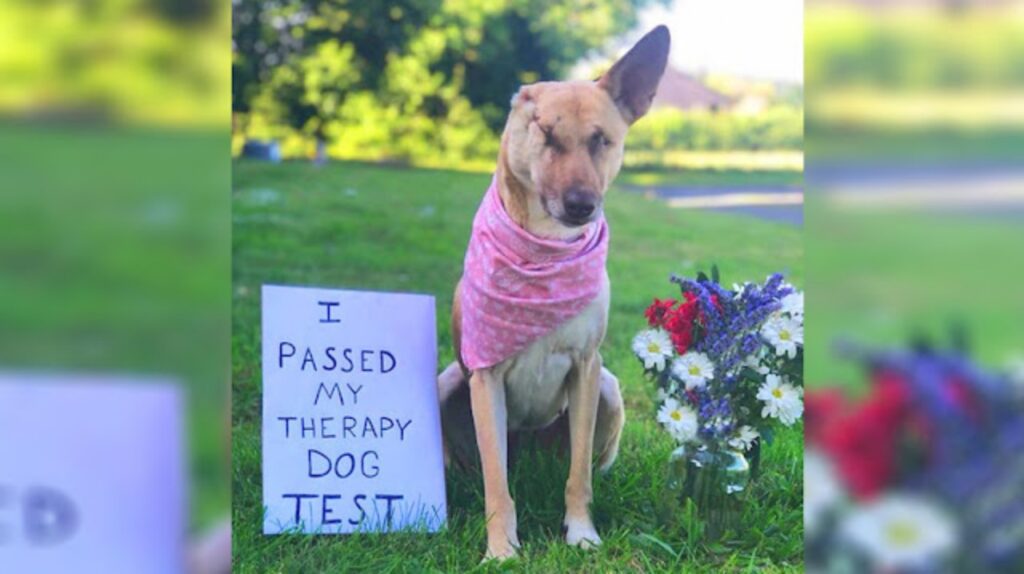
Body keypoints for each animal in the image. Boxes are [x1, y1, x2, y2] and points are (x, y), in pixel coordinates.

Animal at [438, 24, 671, 556]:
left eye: (602, 140)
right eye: (545, 134)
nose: (582, 205)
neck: (543, 254)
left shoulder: (586, 367)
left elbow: (578, 474)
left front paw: (582, 532)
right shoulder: (484, 378)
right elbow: (496, 482)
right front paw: (501, 550)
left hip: (609, 389)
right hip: (447, 384)